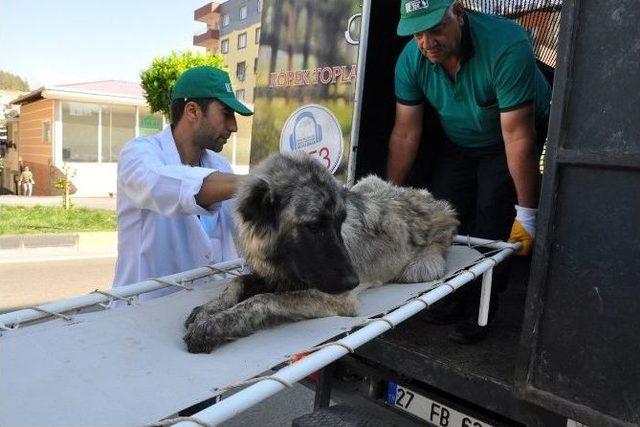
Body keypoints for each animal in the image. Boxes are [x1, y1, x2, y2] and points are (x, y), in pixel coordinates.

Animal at [182, 152, 458, 352]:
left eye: (340, 223)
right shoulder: (275, 276)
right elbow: (237, 282)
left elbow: (262, 299)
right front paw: (211, 309)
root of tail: (441, 206)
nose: (353, 281)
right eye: (314, 226)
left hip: (419, 267)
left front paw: (213, 325)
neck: (282, 262)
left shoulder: (337, 298)